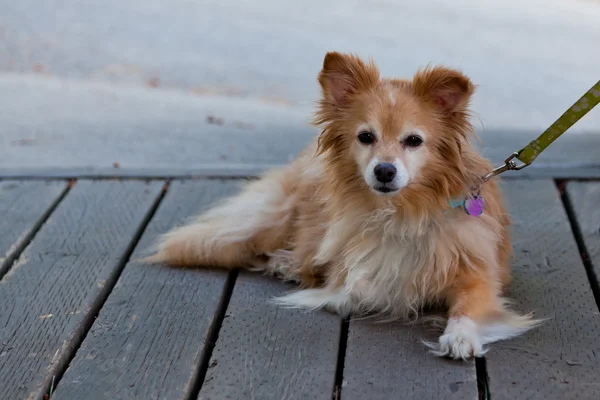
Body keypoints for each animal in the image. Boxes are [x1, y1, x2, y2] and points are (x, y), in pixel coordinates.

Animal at [149, 50, 540, 360]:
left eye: (414, 141)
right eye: (365, 137)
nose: (384, 170)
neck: (401, 211)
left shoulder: (479, 277)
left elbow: (467, 307)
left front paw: (459, 335)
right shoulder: (349, 276)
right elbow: (358, 288)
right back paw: (285, 261)